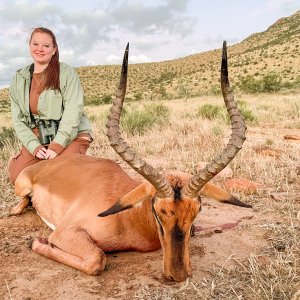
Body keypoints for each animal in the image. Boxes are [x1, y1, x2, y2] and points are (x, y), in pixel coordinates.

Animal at [11, 41, 251, 282]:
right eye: (158, 211)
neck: (129, 218)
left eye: (197, 211)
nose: (178, 274)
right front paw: (36, 241)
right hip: (23, 187)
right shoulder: (64, 232)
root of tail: (42, 165)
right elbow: (97, 259)